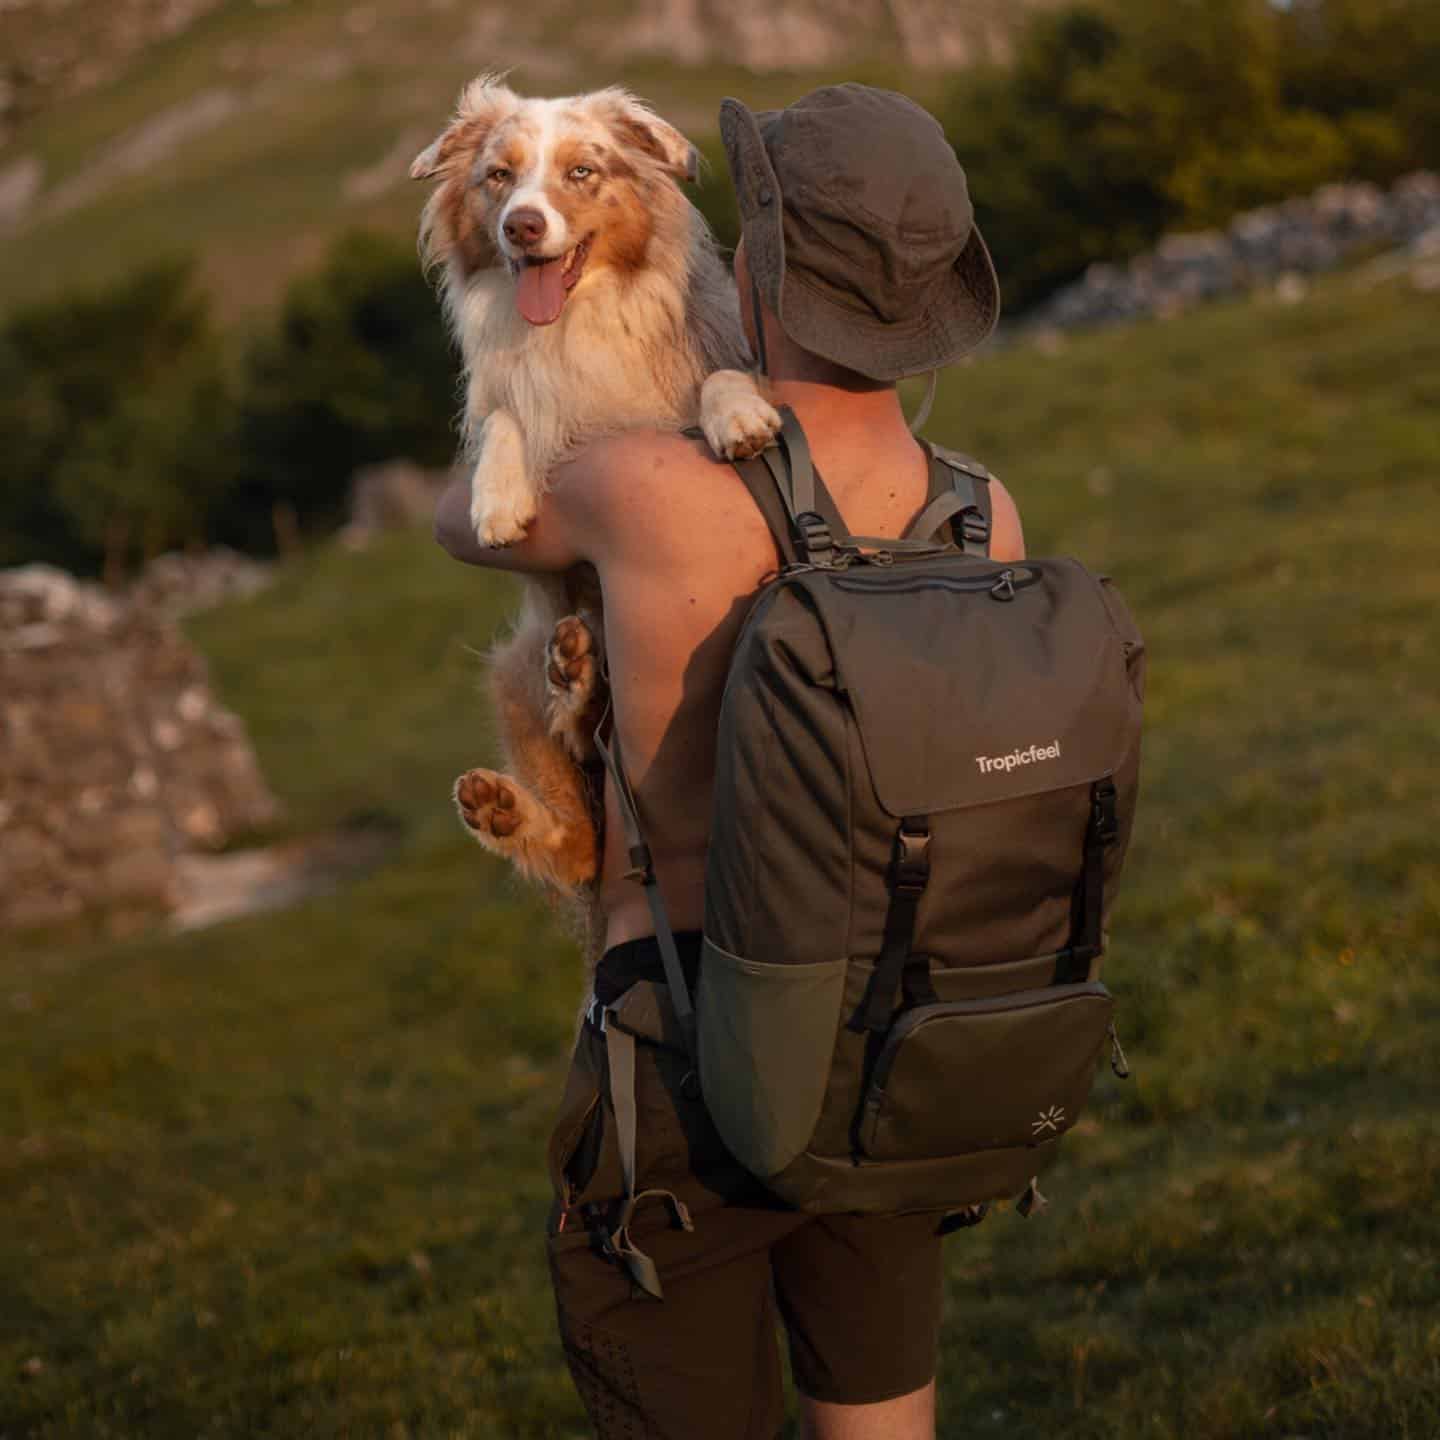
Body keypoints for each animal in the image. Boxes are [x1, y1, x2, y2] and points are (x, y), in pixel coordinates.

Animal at [411, 75, 783, 898]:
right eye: (499, 176)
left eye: (582, 172)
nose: (521, 226)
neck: (575, 323)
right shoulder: (512, 399)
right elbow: (507, 418)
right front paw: (496, 500)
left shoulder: (713, 356)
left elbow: (724, 379)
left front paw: (738, 417)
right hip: (511, 667)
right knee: (579, 832)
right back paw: (509, 797)